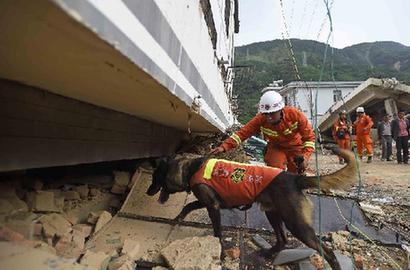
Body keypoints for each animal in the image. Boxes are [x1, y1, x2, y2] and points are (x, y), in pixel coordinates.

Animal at [147, 144, 356, 268]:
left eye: (155, 177)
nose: (148, 192)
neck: (191, 168)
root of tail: (295, 178)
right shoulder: (204, 201)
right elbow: (188, 206)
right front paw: (179, 217)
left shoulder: (212, 206)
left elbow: (217, 231)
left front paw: (219, 251)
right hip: (273, 214)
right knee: (282, 240)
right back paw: (268, 252)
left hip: (296, 224)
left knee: (327, 251)